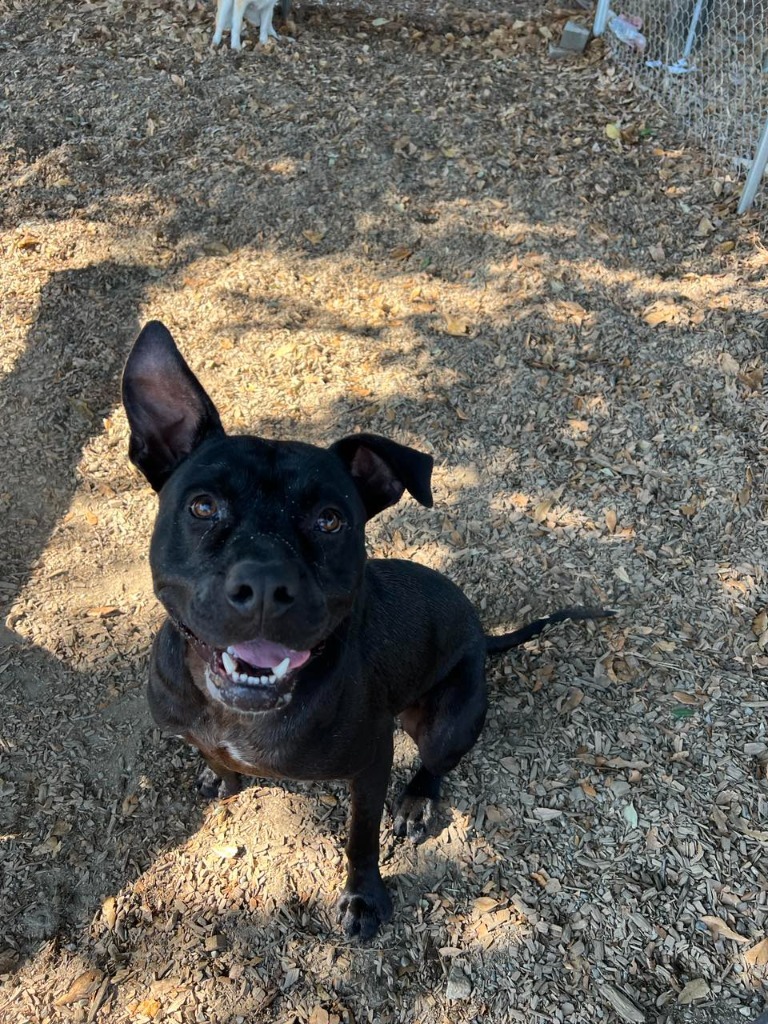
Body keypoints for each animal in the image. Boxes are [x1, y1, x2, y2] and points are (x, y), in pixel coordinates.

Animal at [121, 323, 614, 937]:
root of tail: (482, 635)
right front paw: (223, 779)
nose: (264, 582)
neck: (236, 715)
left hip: (450, 718)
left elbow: (361, 839)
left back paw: (417, 802)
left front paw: (363, 898)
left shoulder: (371, 764)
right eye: (203, 506)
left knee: (435, 762)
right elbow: (215, 758)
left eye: (331, 519)